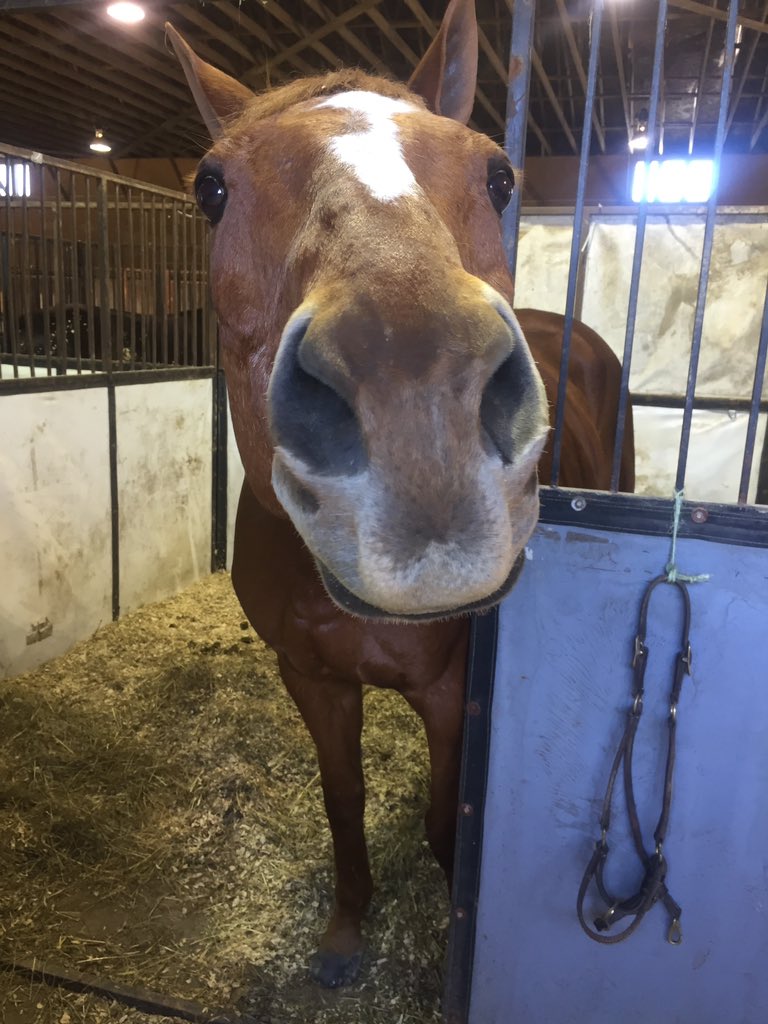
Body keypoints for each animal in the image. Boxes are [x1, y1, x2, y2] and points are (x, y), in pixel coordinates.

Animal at [166, 0, 634, 989]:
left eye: (500, 175)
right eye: (210, 188)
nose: (420, 429)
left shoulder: (455, 689)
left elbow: (443, 815)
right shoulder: (311, 678)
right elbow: (343, 796)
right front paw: (347, 929)